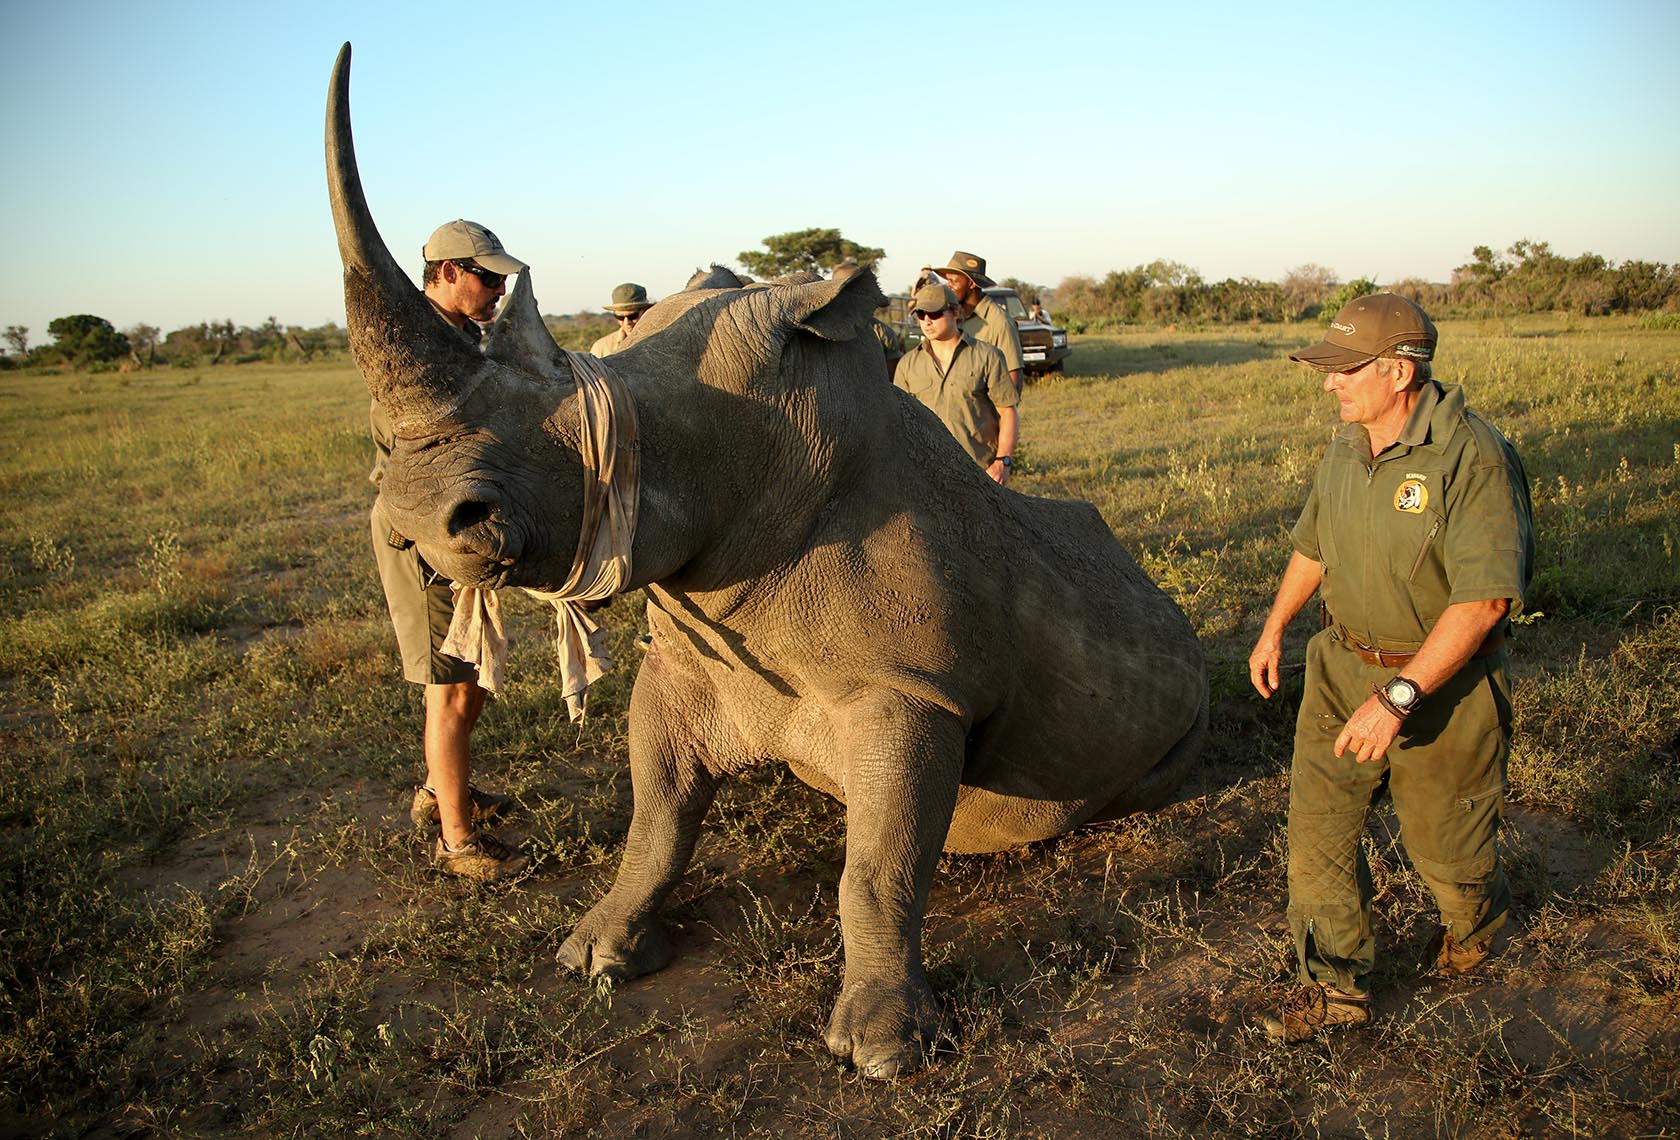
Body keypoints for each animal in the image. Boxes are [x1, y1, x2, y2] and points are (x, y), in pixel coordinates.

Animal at [326, 43, 1208, 1077]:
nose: (417, 519)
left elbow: (876, 867)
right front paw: (594, 954)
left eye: (604, 423)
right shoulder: (686, 660)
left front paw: (884, 1052)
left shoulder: (912, 691)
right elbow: (657, 818)